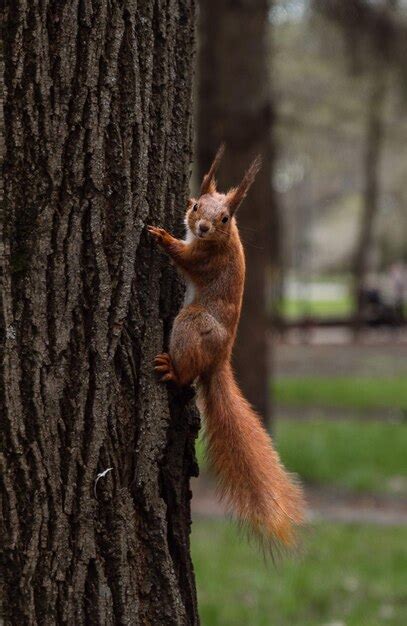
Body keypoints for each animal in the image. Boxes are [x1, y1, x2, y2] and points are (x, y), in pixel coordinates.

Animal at [148, 145, 304, 544]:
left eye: (224, 217)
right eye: (194, 206)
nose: (201, 227)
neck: (220, 238)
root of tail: (219, 358)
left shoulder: (205, 259)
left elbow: (185, 257)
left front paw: (162, 237)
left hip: (192, 323)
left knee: (186, 375)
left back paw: (172, 369)